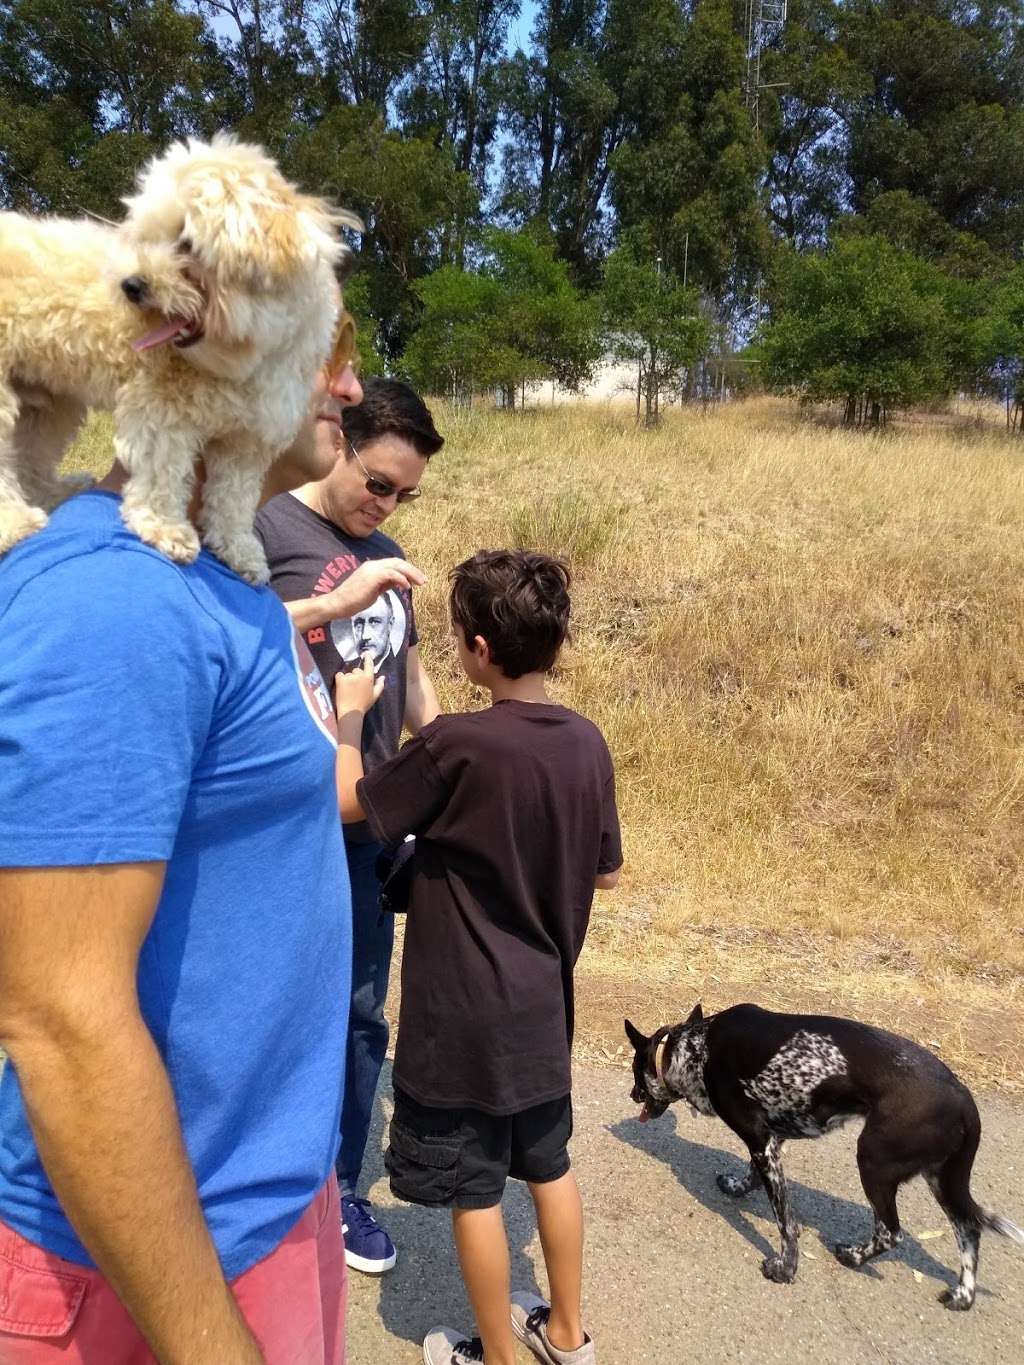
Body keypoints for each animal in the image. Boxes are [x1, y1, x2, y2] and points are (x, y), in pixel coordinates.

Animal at [0, 137, 357, 581]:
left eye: (187, 243)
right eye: (147, 238)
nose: (130, 285)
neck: (241, 361)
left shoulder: (248, 438)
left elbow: (235, 499)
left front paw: (240, 551)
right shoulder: (161, 410)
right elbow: (162, 473)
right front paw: (165, 529)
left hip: (49, 406)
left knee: (31, 458)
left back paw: (59, 491)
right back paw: (16, 524)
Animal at [630, 1004, 1021, 1310]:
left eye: (635, 1071)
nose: (632, 1094)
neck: (697, 1046)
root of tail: (964, 1099)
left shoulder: (760, 1140)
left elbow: (786, 1223)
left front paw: (785, 1269)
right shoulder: (771, 1140)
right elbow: (755, 1175)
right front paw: (739, 1186)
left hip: (874, 1163)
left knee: (892, 1233)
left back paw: (853, 1256)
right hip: (943, 1180)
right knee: (968, 1230)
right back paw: (962, 1296)